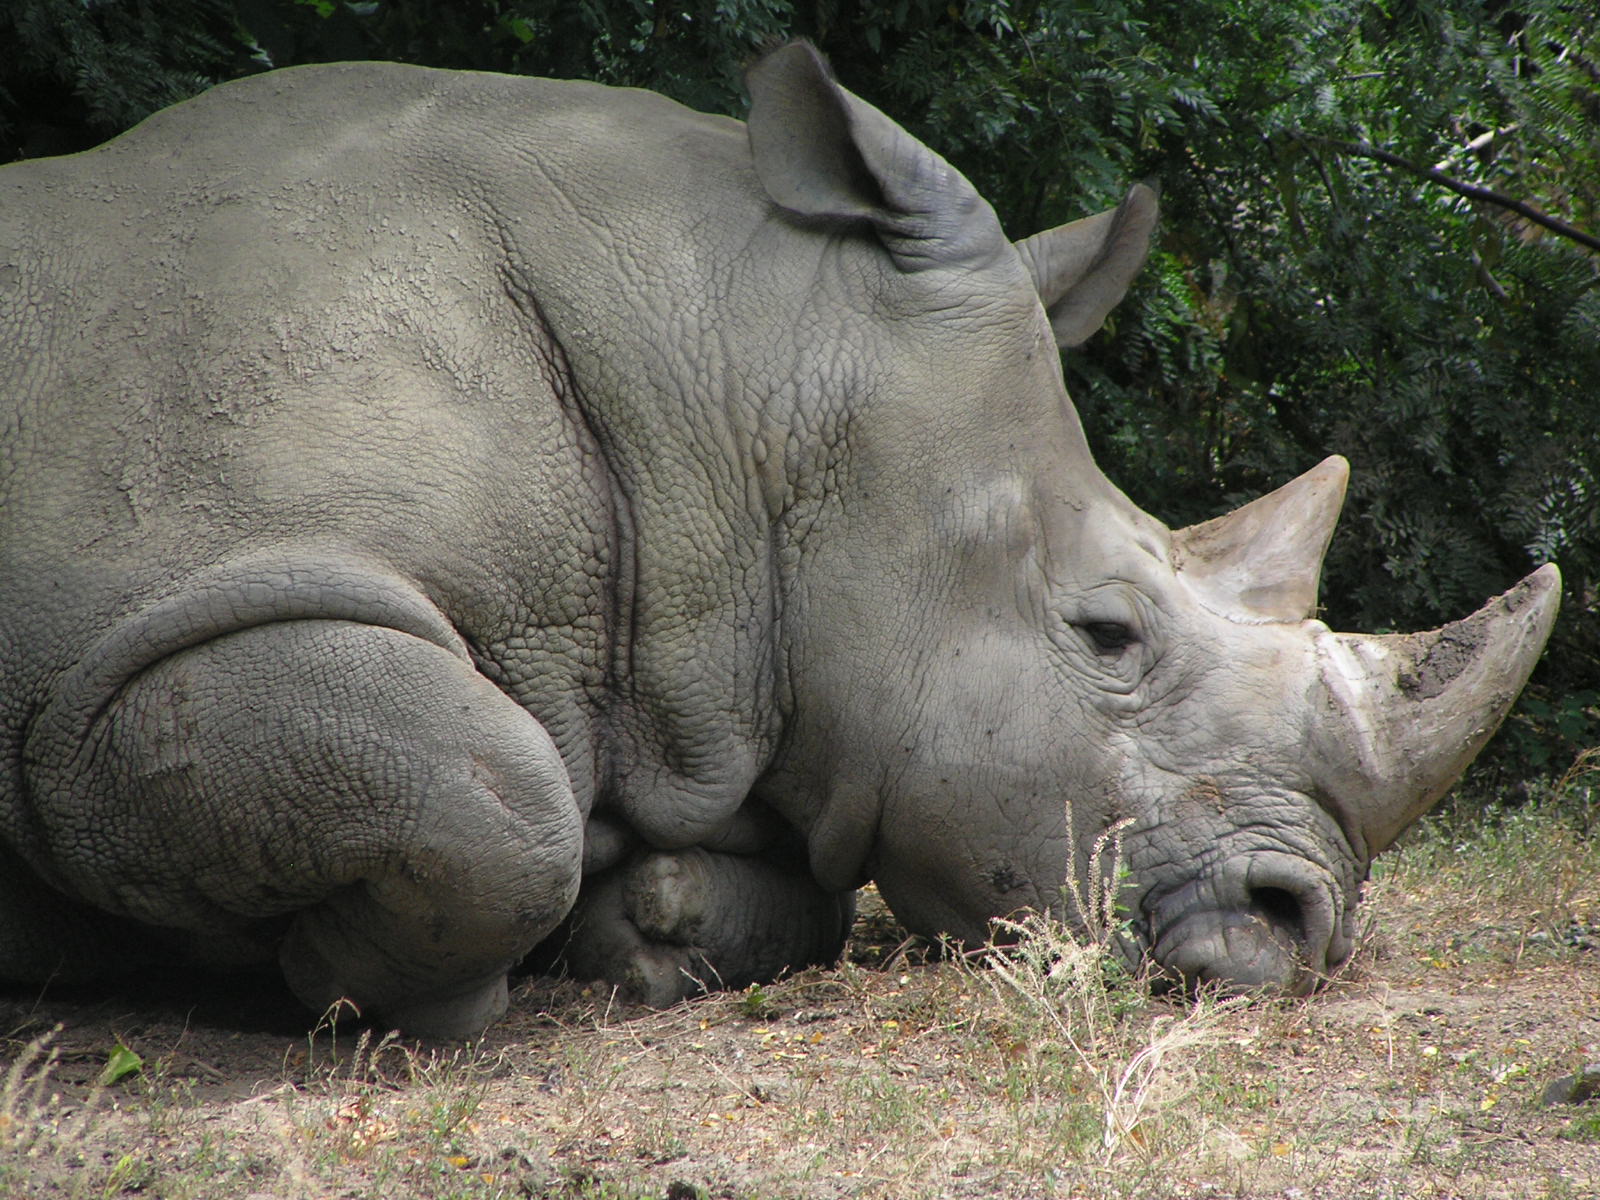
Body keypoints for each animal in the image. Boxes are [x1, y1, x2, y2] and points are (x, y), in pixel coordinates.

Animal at [0, 44, 1559, 1038]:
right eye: (1107, 632)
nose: (1303, 925)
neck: (741, 375)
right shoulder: (124, 652)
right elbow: (495, 799)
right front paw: (316, 975)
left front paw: (650, 929)